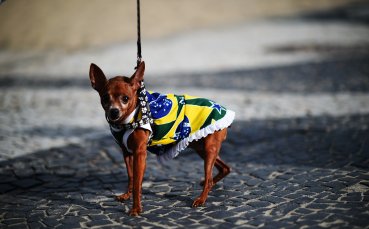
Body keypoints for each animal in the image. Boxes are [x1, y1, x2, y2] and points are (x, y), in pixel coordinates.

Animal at [87, 60, 234, 215]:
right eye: (105, 98)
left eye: (125, 98)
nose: (114, 111)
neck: (128, 119)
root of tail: (223, 109)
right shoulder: (127, 153)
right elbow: (131, 176)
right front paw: (127, 195)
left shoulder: (140, 154)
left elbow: (137, 182)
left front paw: (136, 209)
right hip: (201, 148)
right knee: (225, 168)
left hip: (209, 149)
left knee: (209, 178)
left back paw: (201, 199)